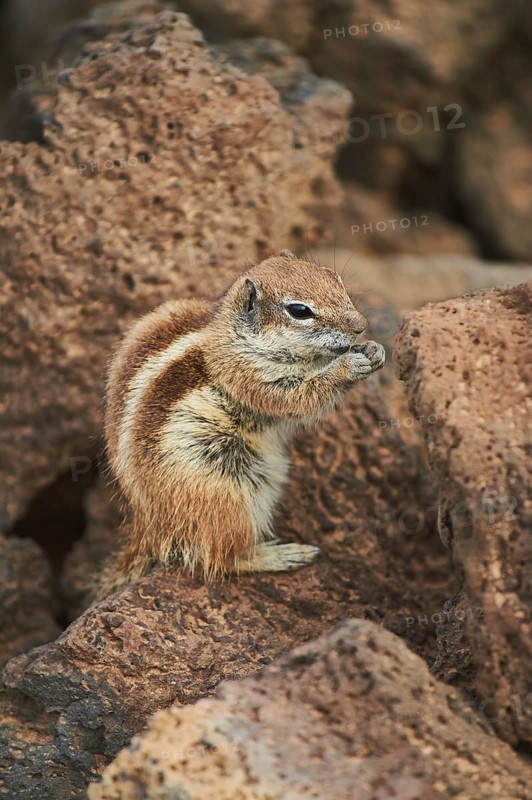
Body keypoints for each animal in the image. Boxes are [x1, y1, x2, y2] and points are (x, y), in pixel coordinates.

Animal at [97, 251, 385, 597]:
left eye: (335, 279)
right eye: (299, 311)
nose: (360, 327)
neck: (237, 336)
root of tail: (150, 526)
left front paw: (375, 350)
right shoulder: (250, 376)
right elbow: (300, 398)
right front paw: (349, 365)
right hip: (226, 497)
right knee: (220, 557)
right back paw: (284, 555)